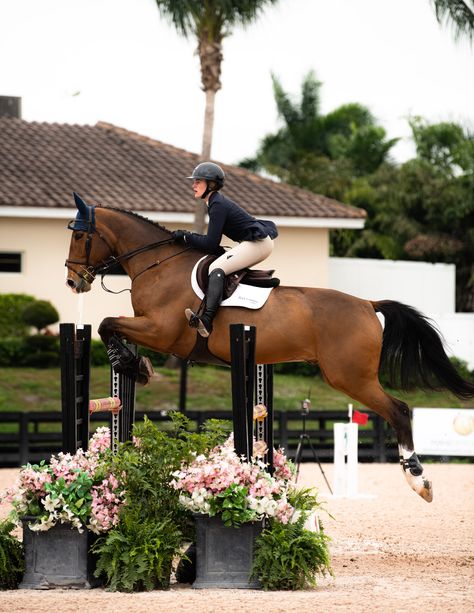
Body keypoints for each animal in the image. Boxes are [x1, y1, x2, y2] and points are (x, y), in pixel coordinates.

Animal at [64, 195, 474, 502]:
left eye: (81, 238)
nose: (72, 281)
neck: (157, 265)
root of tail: (367, 305)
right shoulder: (149, 328)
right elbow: (112, 327)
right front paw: (133, 365)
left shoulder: (161, 331)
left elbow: (107, 324)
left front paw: (129, 364)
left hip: (350, 377)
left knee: (400, 411)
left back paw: (418, 480)